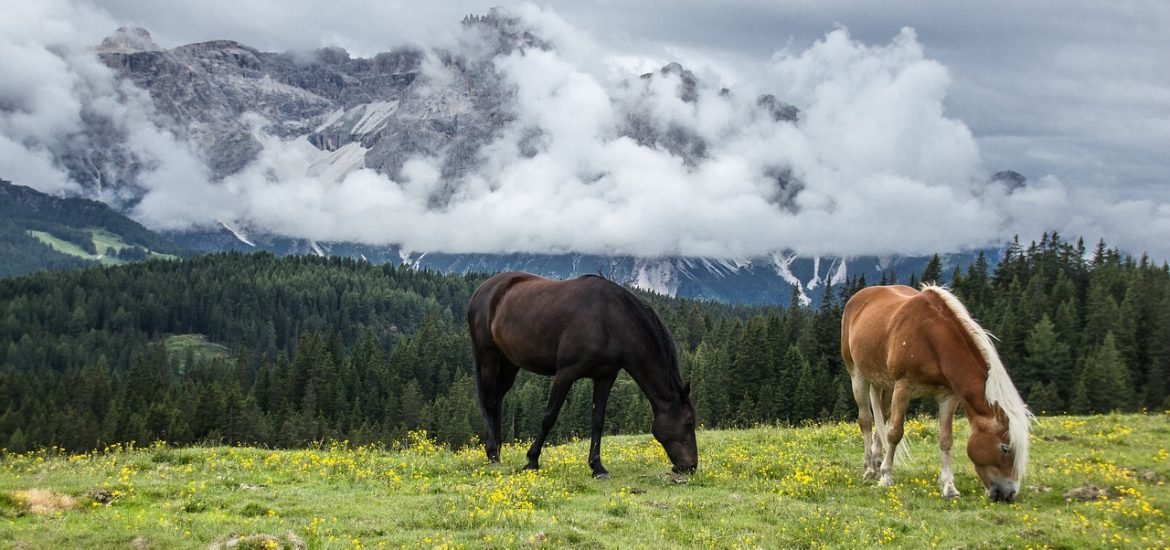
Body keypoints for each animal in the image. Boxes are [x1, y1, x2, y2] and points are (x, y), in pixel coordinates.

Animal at [467, 271, 697, 478]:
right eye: (688, 423)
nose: (690, 466)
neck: (610, 320)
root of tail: (482, 290)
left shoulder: (605, 377)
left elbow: (598, 421)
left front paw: (597, 467)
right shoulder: (565, 373)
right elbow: (549, 417)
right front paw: (532, 461)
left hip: (510, 362)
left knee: (498, 399)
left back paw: (498, 450)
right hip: (488, 356)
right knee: (489, 401)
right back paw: (493, 454)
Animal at [840, 284, 1031, 502]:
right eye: (1005, 448)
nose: (1009, 493)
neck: (931, 339)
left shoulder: (948, 396)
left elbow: (946, 439)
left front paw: (949, 487)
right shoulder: (903, 387)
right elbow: (895, 433)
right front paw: (886, 477)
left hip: (884, 383)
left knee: (883, 416)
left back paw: (876, 460)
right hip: (858, 375)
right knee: (866, 420)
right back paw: (870, 469)